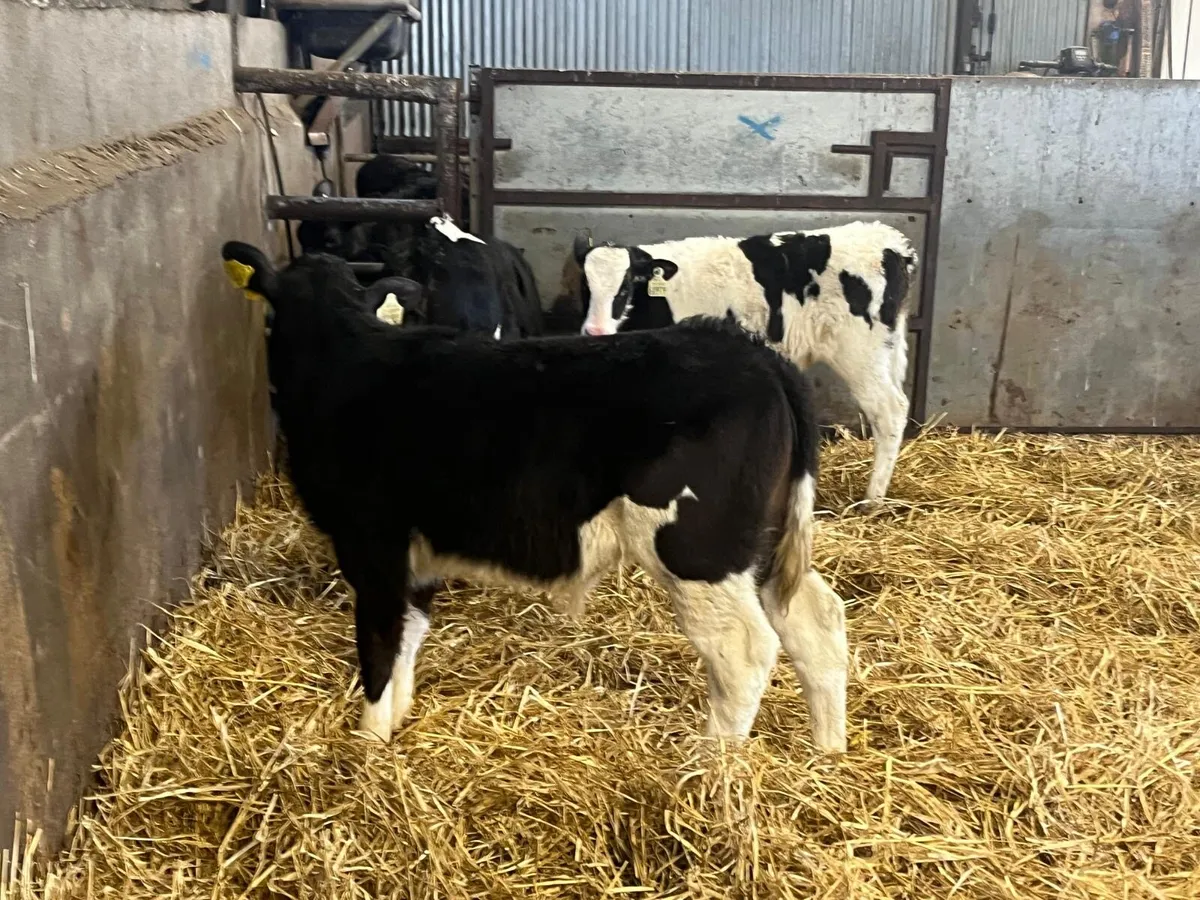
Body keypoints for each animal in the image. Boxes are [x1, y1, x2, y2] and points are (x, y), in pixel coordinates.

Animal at [219, 241, 849, 754]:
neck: (343, 360)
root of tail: (758, 356)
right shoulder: (417, 551)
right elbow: (408, 635)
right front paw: (396, 724)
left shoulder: (369, 539)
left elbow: (378, 641)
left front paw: (367, 745)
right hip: (765, 542)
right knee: (814, 619)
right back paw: (827, 752)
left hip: (699, 549)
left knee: (743, 650)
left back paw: (709, 771)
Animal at [575, 221, 919, 509]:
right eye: (585, 286)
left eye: (625, 286)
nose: (595, 330)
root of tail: (890, 241)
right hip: (887, 351)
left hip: (860, 354)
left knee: (889, 411)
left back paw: (871, 500)